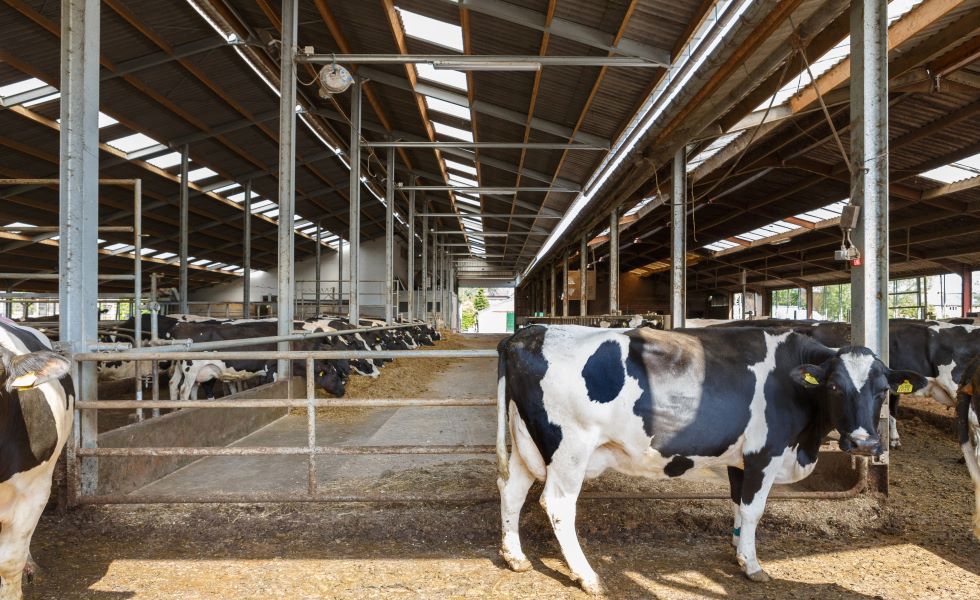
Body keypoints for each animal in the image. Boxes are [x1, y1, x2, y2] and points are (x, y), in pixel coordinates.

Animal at [498, 326, 928, 592]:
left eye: (883, 389)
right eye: (836, 386)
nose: (864, 443)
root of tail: (529, 332)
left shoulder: (740, 459)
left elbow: (738, 506)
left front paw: (737, 551)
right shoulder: (764, 454)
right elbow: (754, 510)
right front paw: (752, 565)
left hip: (524, 443)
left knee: (512, 491)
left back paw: (515, 556)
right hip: (570, 448)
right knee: (557, 505)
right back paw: (587, 576)